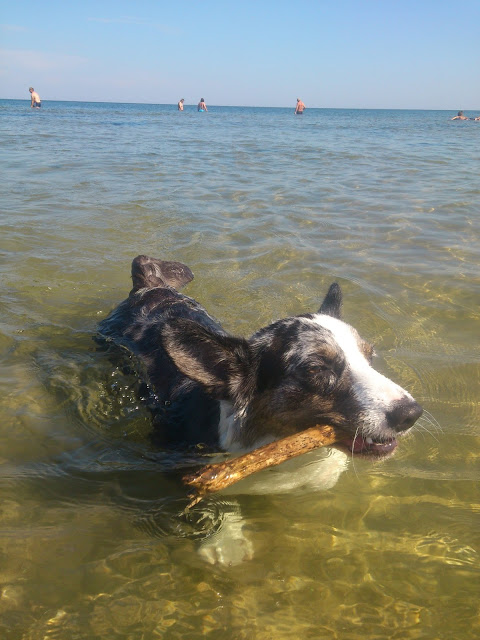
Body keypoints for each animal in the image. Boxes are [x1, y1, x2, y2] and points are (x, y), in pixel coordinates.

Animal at [98, 258, 424, 564]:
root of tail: (148, 287)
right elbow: (216, 503)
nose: (412, 414)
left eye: (370, 356)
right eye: (316, 369)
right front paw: (226, 544)